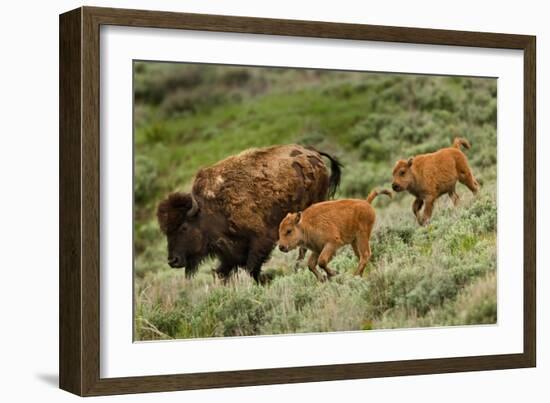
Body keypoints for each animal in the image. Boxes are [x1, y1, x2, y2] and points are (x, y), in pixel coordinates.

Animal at [157, 145, 342, 284]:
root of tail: (313, 153)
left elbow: (251, 267)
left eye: (183, 227)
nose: (172, 260)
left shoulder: (260, 240)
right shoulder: (229, 253)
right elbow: (223, 271)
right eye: (166, 232)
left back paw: (299, 266)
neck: (208, 209)